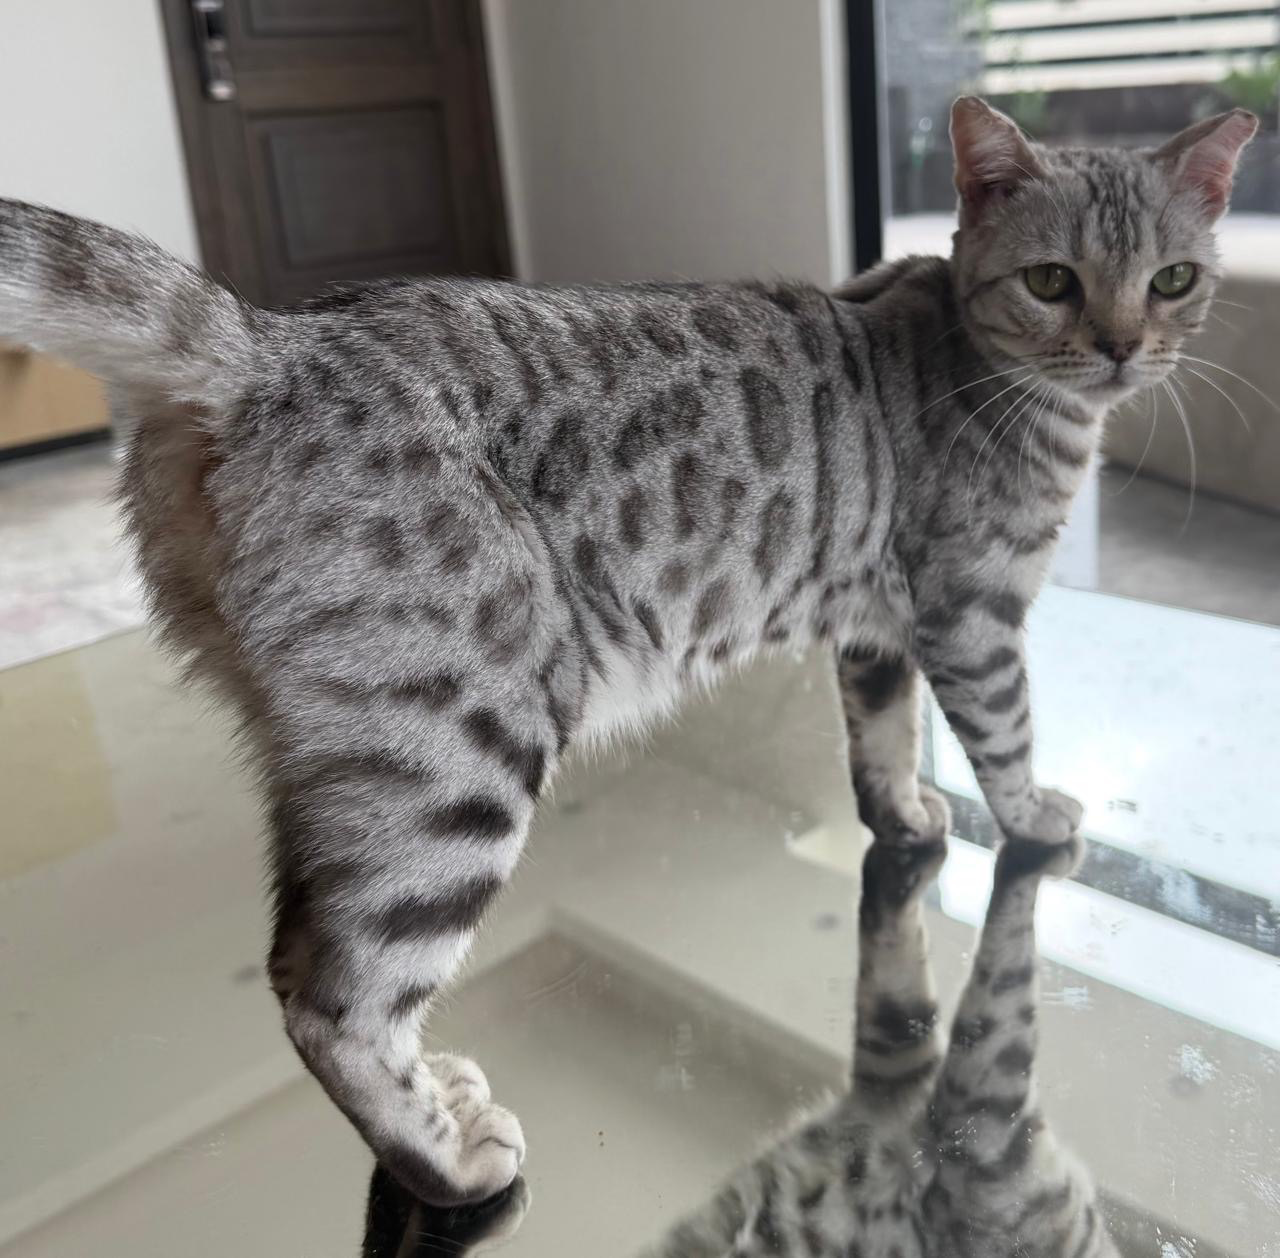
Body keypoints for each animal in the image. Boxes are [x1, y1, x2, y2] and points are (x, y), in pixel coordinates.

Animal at [0, 97, 1254, 1208]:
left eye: (1171, 279)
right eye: (1050, 281)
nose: (1120, 347)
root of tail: (273, 344)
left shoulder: (877, 628)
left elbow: (882, 741)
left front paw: (903, 815)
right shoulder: (971, 609)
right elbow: (1004, 736)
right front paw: (1032, 812)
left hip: (339, 758)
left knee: (300, 945)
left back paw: (442, 1092)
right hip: (457, 750)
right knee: (334, 995)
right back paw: (446, 1159)